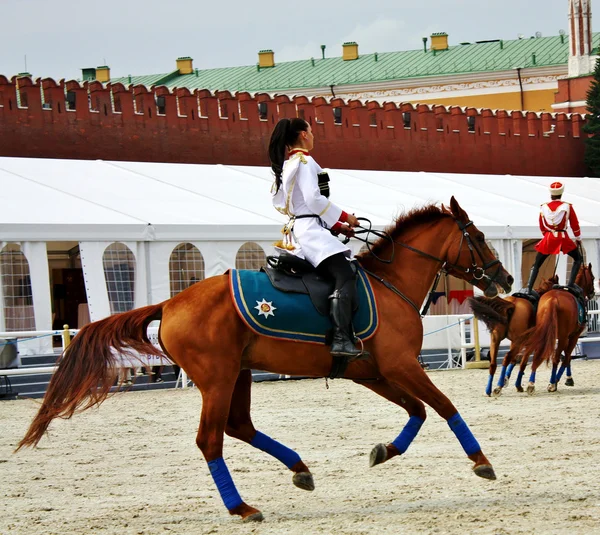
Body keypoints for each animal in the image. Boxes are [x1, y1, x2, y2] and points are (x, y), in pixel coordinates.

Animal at [16, 199, 510, 520]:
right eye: (479, 237)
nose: (503, 279)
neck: (392, 285)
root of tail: (171, 304)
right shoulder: (400, 366)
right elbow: (444, 406)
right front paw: (481, 461)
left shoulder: (373, 373)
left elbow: (418, 410)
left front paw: (385, 451)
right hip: (217, 380)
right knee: (211, 439)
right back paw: (240, 506)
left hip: (239, 374)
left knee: (239, 427)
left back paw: (299, 469)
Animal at [510, 266, 596, 396]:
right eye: (593, 277)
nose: (593, 292)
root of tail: (553, 300)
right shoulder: (573, 336)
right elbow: (566, 357)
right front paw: (565, 379)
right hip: (562, 337)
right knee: (554, 357)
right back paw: (552, 383)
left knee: (527, 357)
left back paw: (525, 384)